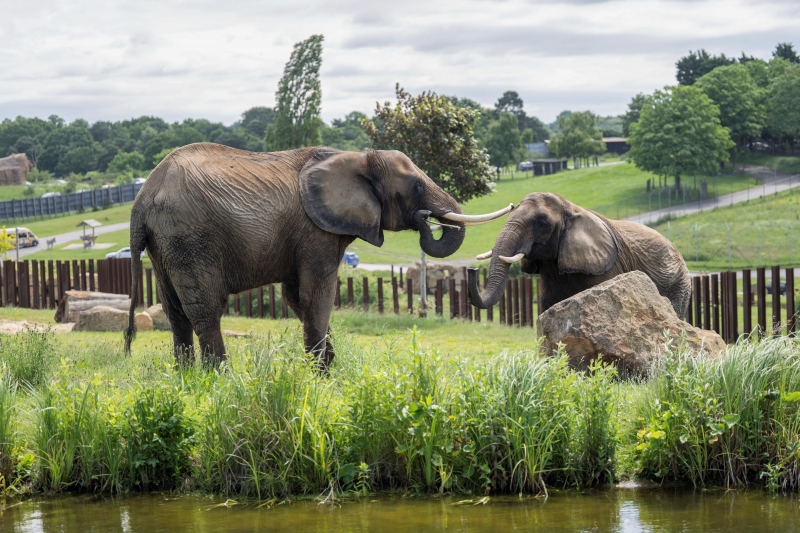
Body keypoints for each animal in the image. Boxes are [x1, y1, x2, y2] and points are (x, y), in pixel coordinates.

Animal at [124, 143, 512, 369]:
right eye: (416, 187)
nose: (425, 218)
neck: (355, 157)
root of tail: (141, 200)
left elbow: (297, 298)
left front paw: (328, 365)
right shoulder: (315, 231)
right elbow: (316, 295)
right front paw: (321, 374)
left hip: (165, 245)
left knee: (175, 311)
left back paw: (188, 378)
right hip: (189, 237)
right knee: (204, 309)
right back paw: (220, 377)